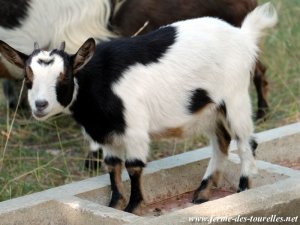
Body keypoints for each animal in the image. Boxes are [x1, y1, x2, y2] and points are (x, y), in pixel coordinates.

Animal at [0, 3, 276, 214]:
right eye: (28, 77)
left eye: (64, 76)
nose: (40, 105)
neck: (97, 82)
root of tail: (244, 35)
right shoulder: (106, 134)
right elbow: (112, 166)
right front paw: (114, 204)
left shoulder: (134, 129)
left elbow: (133, 166)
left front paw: (133, 207)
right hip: (209, 109)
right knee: (221, 142)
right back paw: (202, 192)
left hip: (235, 97)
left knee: (245, 141)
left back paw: (243, 187)